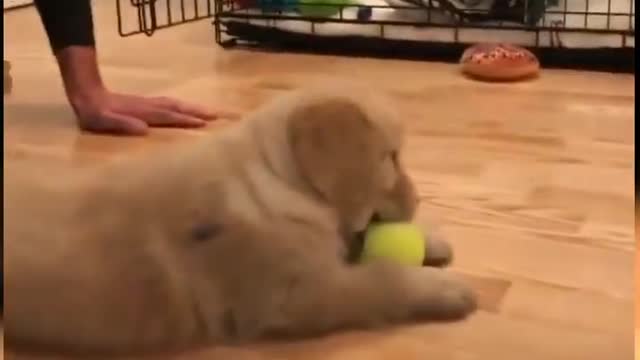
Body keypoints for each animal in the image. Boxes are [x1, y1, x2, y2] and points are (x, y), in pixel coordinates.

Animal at [3, 85, 476, 358]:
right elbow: (381, 279)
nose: (418, 201)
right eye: (391, 158)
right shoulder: (299, 294)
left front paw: (433, 242)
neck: (274, 181)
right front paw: (443, 288)